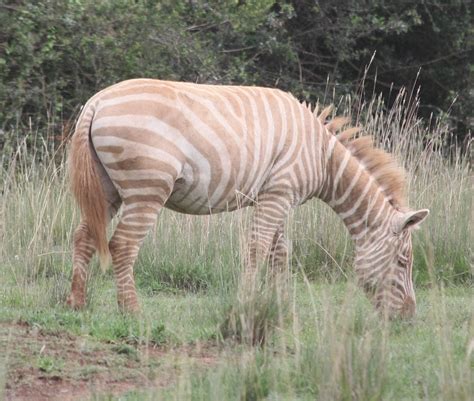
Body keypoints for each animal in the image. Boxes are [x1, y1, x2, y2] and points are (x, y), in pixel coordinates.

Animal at [67, 79, 430, 318]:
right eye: (404, 261)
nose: (409, 317)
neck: (324, 157)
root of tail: (97, 101)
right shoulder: (279, 194)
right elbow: (258, 247)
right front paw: (248, 301)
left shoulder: (276, 197)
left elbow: (280, 253)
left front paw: (280, 303)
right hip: (147, 189)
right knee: (123, 245)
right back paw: (132, 310)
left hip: (107, 188)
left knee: (84, 236)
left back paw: (76, 302)